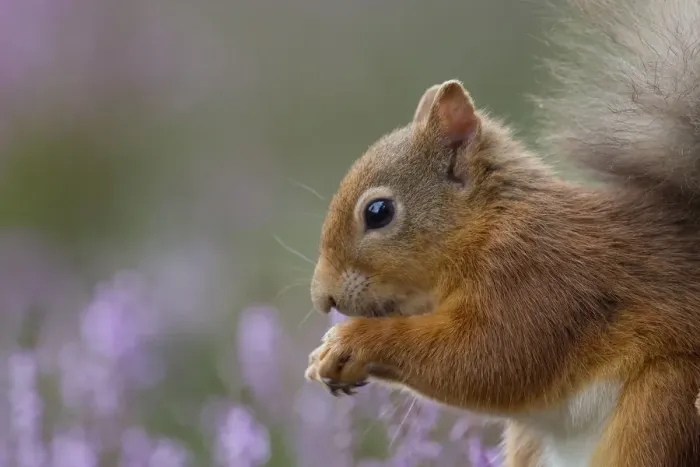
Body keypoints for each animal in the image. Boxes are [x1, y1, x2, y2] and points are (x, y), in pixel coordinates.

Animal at [304, 0, 700, 465]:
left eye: (378, 212)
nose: (322, 298)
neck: (486, 226)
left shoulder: (539, 276)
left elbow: (490, 359)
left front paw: (352, 341)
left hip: (661, 403)